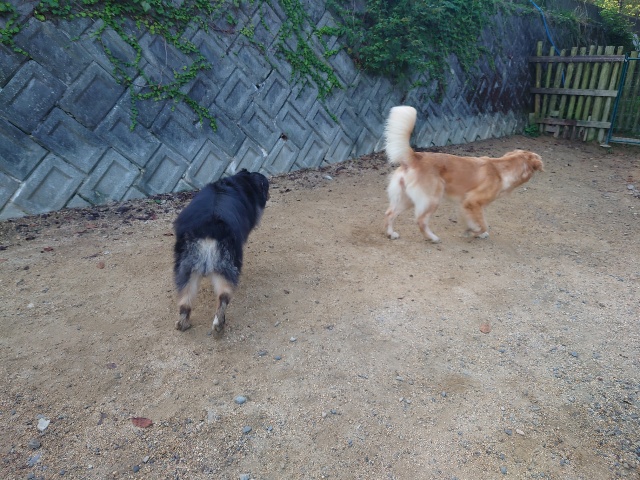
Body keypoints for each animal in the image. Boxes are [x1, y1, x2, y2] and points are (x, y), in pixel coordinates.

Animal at [173, 169, 269, 333]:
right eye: (267, 186)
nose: (269, 196)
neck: (241, 182)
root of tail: (209, 228)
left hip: (186, 266)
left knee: (186, 299)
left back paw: (183, 323)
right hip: (226, 264)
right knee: (223, 296)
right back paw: (219, 325)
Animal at [384, 106, 543, 243]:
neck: (502, 170)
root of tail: (415, 157)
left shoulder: (471, 205)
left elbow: (476, 220)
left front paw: (476, 231)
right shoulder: (472, 201)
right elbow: (483, 224)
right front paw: (473, 232)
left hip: (406, 199)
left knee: (390, 213)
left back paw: (391, 234)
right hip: (432, 199)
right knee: (420, 220)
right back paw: (432, 238)